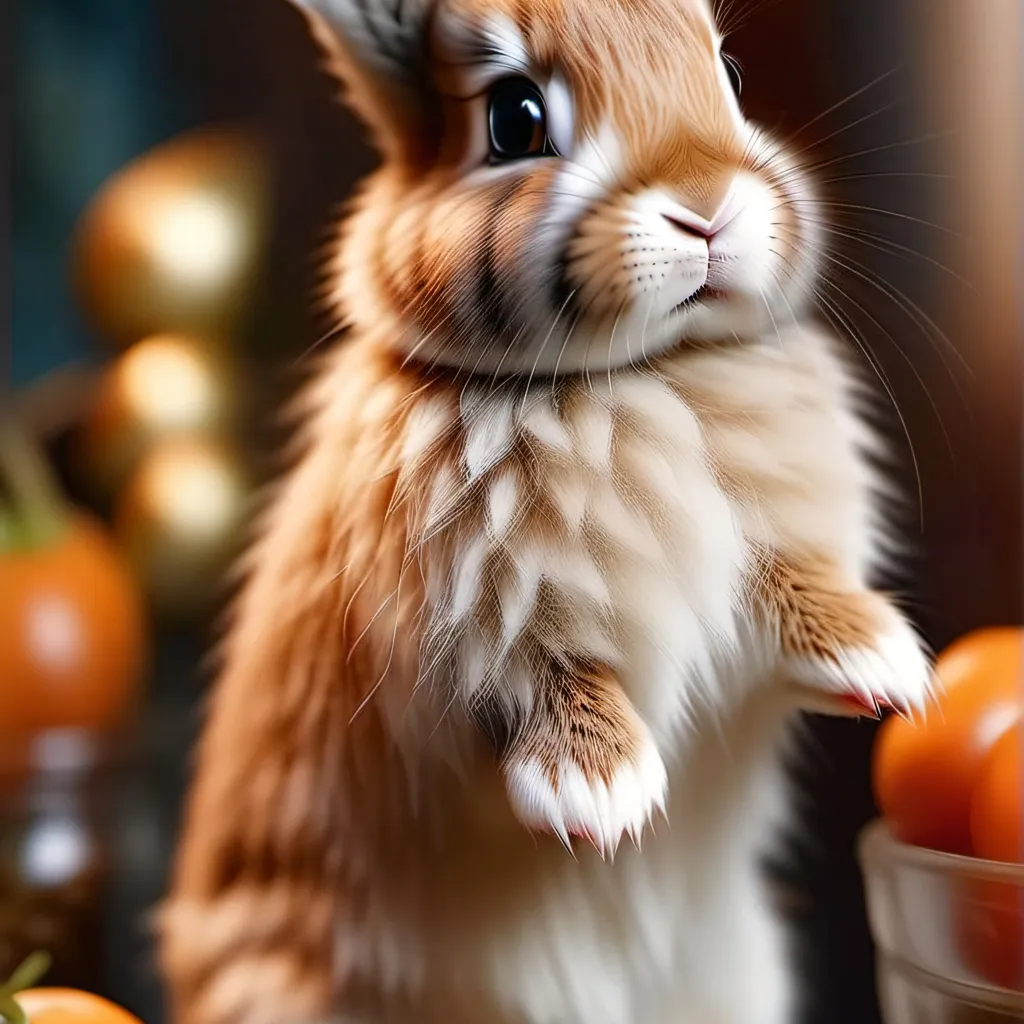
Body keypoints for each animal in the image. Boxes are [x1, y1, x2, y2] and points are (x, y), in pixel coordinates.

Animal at [158, 1, 933, 1022]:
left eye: (727, 73)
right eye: (515, 119)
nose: (708, 206)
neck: (642, 375)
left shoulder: (773, 548)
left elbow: (796, 585)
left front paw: (884, 665)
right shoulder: (476, 636)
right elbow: (555, 680)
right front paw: (600, 794)